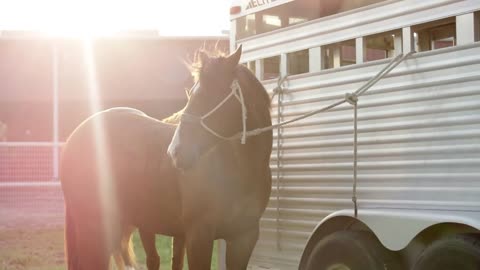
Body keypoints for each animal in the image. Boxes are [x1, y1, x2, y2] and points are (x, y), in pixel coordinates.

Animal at [60, 45, 272, 268]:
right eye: (191, 94)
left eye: (210, 94)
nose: (175, 151)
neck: (239, 171)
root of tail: (75, 137)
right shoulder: (199, 236)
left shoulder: (243, 239)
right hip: (96, 231)